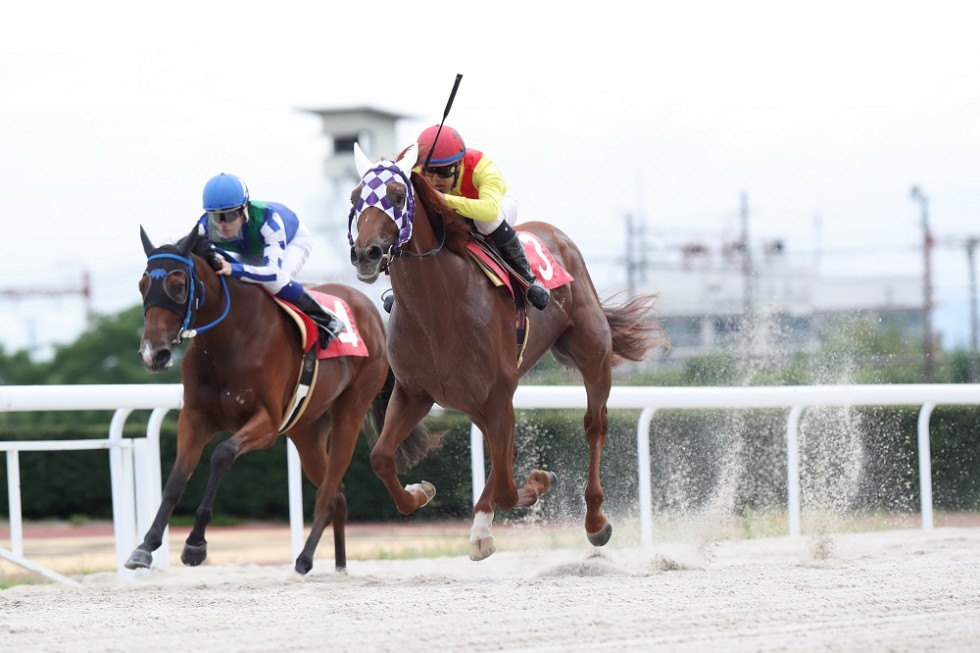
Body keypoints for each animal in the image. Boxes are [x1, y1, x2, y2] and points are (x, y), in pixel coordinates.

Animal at [127, 227, 440, 572]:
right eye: (142, 285)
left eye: (179, 286)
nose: (153, 353)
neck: (229, 339)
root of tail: (370, 310)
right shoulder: (195, 417)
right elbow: (175, 480)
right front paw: (145, 546)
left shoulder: (266, 422)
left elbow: (222, 454)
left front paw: (195, 543)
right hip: (306, 430)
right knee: (338, 492)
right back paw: (339, 563)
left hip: (350, 410)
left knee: (330, 490)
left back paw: (305, 558)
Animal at [344, 141, 668, 556]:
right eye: (356, 198)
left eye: (398, 196)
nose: (366, 254)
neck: (436, 309)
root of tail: (554, 233)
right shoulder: (414, 392)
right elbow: (382, 457)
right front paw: (421, 493)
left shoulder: (498, 395)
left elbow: (509, 488)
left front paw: (537, 482)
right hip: (476, 400)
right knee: (503, 456)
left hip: (591, 354)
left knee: (593, 426)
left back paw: (594, 520)